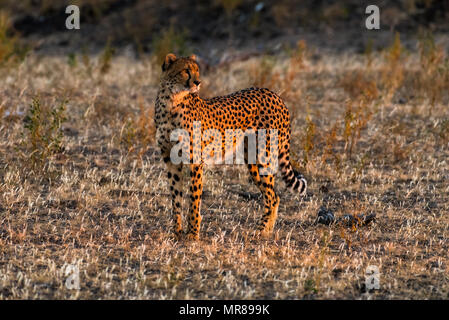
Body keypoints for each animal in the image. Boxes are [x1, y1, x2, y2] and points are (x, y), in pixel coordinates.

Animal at [153, 53, 304, 240]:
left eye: (197, 70)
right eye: (186, 71)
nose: (198, 82)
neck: (172, 101)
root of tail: (273, 93)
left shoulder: (195, 161)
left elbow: (194, 198)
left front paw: (193, 234)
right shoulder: (170, 160)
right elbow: (176, 198)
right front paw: (177, 232)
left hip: (263, 156)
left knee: (272, 196)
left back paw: (260, 231)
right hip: (252, 160)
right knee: (274, 195)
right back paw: (267, 231)